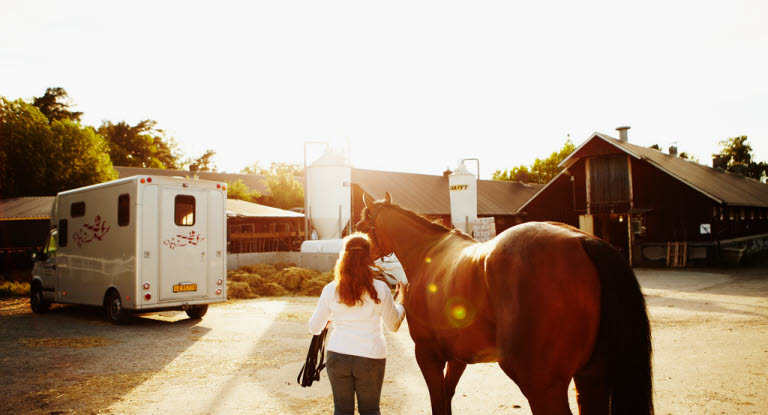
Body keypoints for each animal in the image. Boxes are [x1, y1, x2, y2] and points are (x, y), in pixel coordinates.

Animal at [356, 194, 652, 415]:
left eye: (361, 224)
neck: (427, 253)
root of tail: (583, 241)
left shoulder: (427, 354)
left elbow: (438, 402)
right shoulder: (458, 357)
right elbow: (447, 397)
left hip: (541, 386)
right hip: (591, 377)